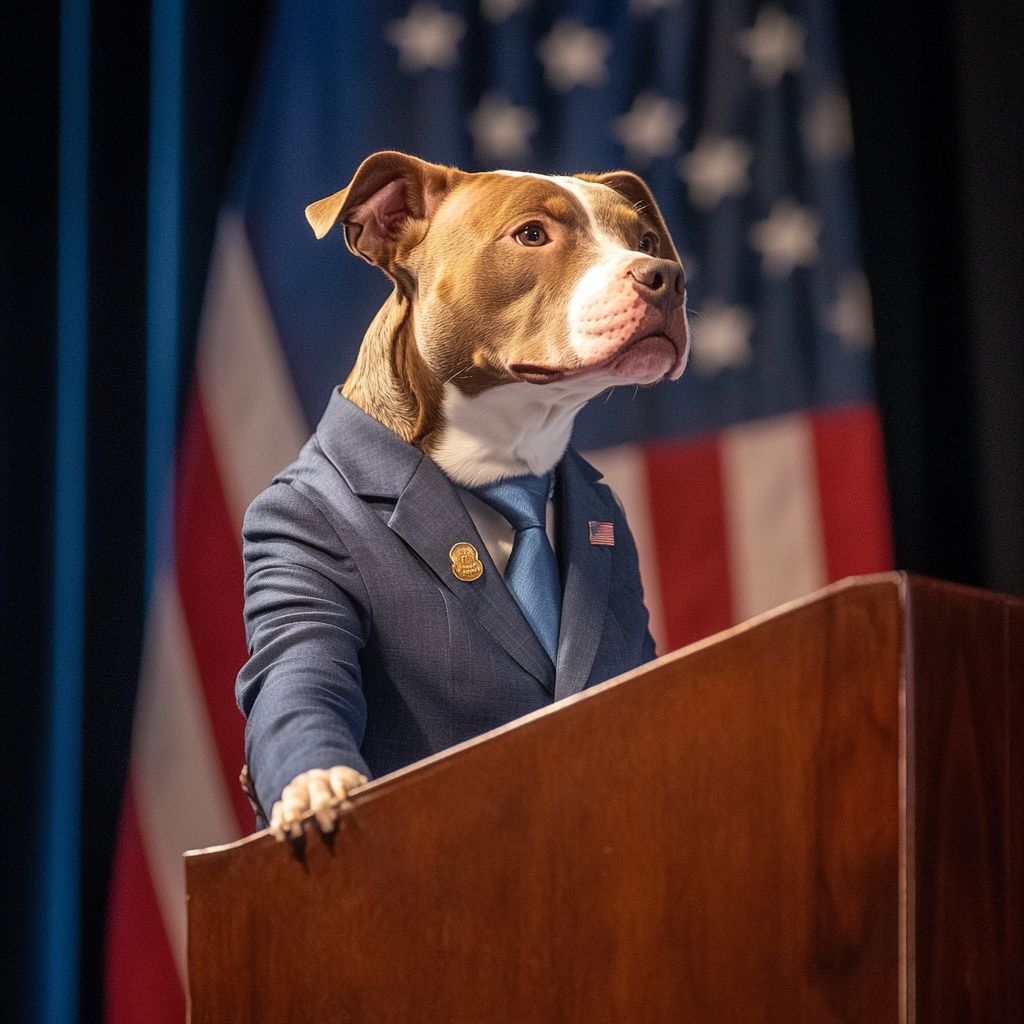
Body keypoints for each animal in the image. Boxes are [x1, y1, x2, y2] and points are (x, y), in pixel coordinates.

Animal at [236, 151, 688, 839]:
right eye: (531, 234)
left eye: (644, 240)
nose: (667, 275)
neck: (506, 460)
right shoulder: (290, 552)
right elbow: (297, 663)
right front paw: (313, 785)